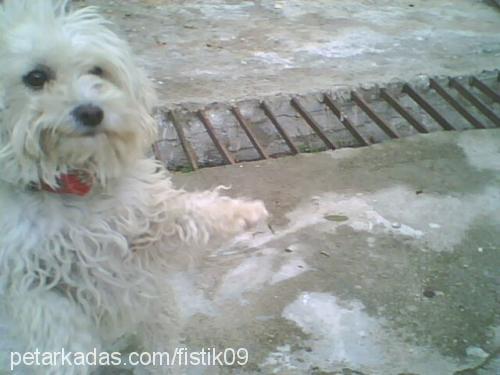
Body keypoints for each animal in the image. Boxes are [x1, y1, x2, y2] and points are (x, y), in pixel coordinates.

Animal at [0, 1, 268, 374]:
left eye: (98, 70)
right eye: (35, 77)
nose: (91, 112)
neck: (74, 185)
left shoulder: (141, 220)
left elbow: (184, 213)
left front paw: (244, 211)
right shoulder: (33, 281)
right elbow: (62, 332)